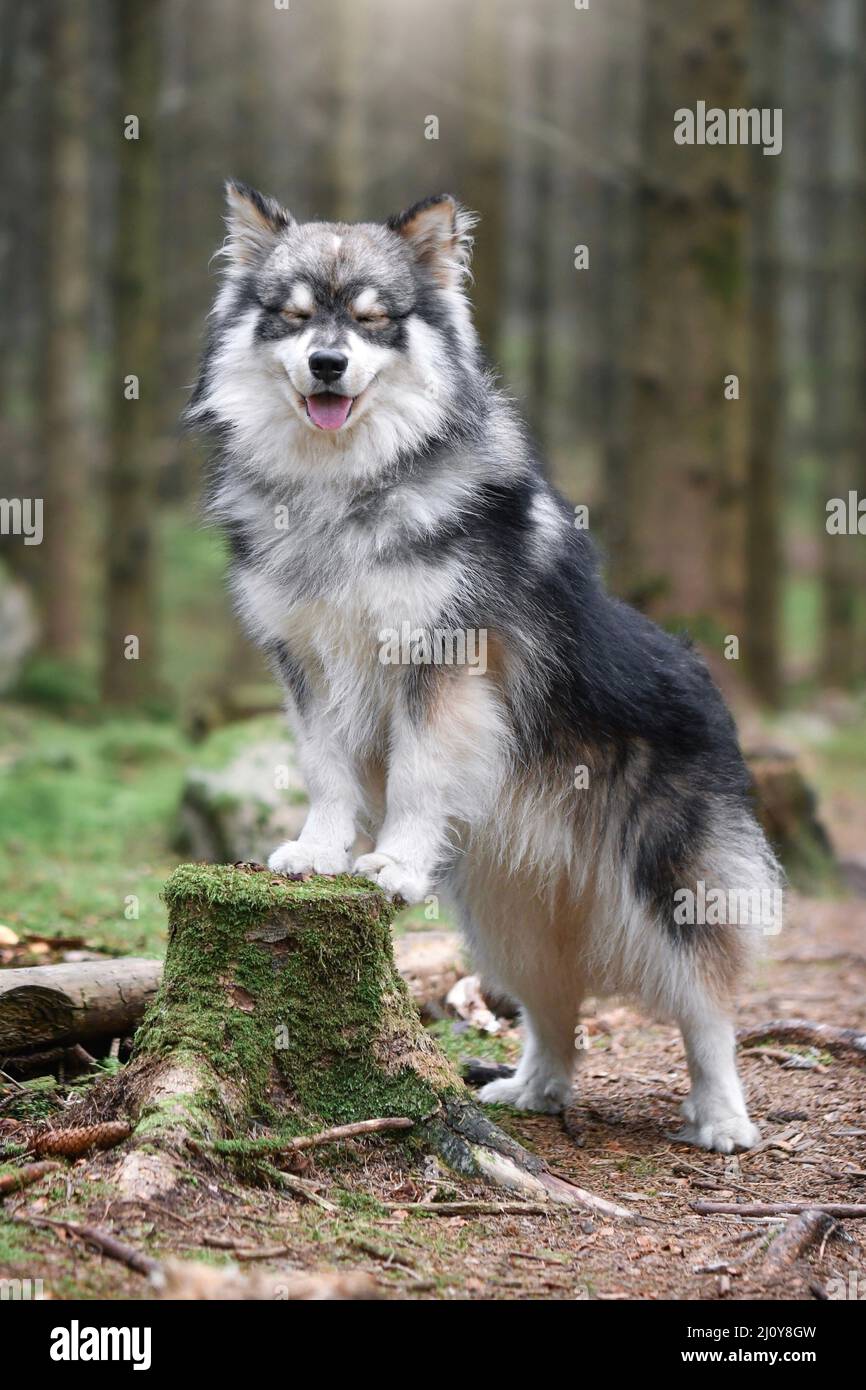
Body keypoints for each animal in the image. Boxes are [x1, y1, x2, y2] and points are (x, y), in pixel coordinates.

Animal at [186, 182, 783, 1150]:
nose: (325, 365)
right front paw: (318, 850)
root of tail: (706, 677)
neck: (341, 489)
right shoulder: (307, 665)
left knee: (707, 1010)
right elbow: (326, 770)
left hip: (676, 887)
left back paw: (723, 1117)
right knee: (553, 1008)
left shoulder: (440, 665)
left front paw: (390, 864)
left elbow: (419, 776)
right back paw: (532, 1089)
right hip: (509, 918)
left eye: (373, 320)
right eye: (295, 317)